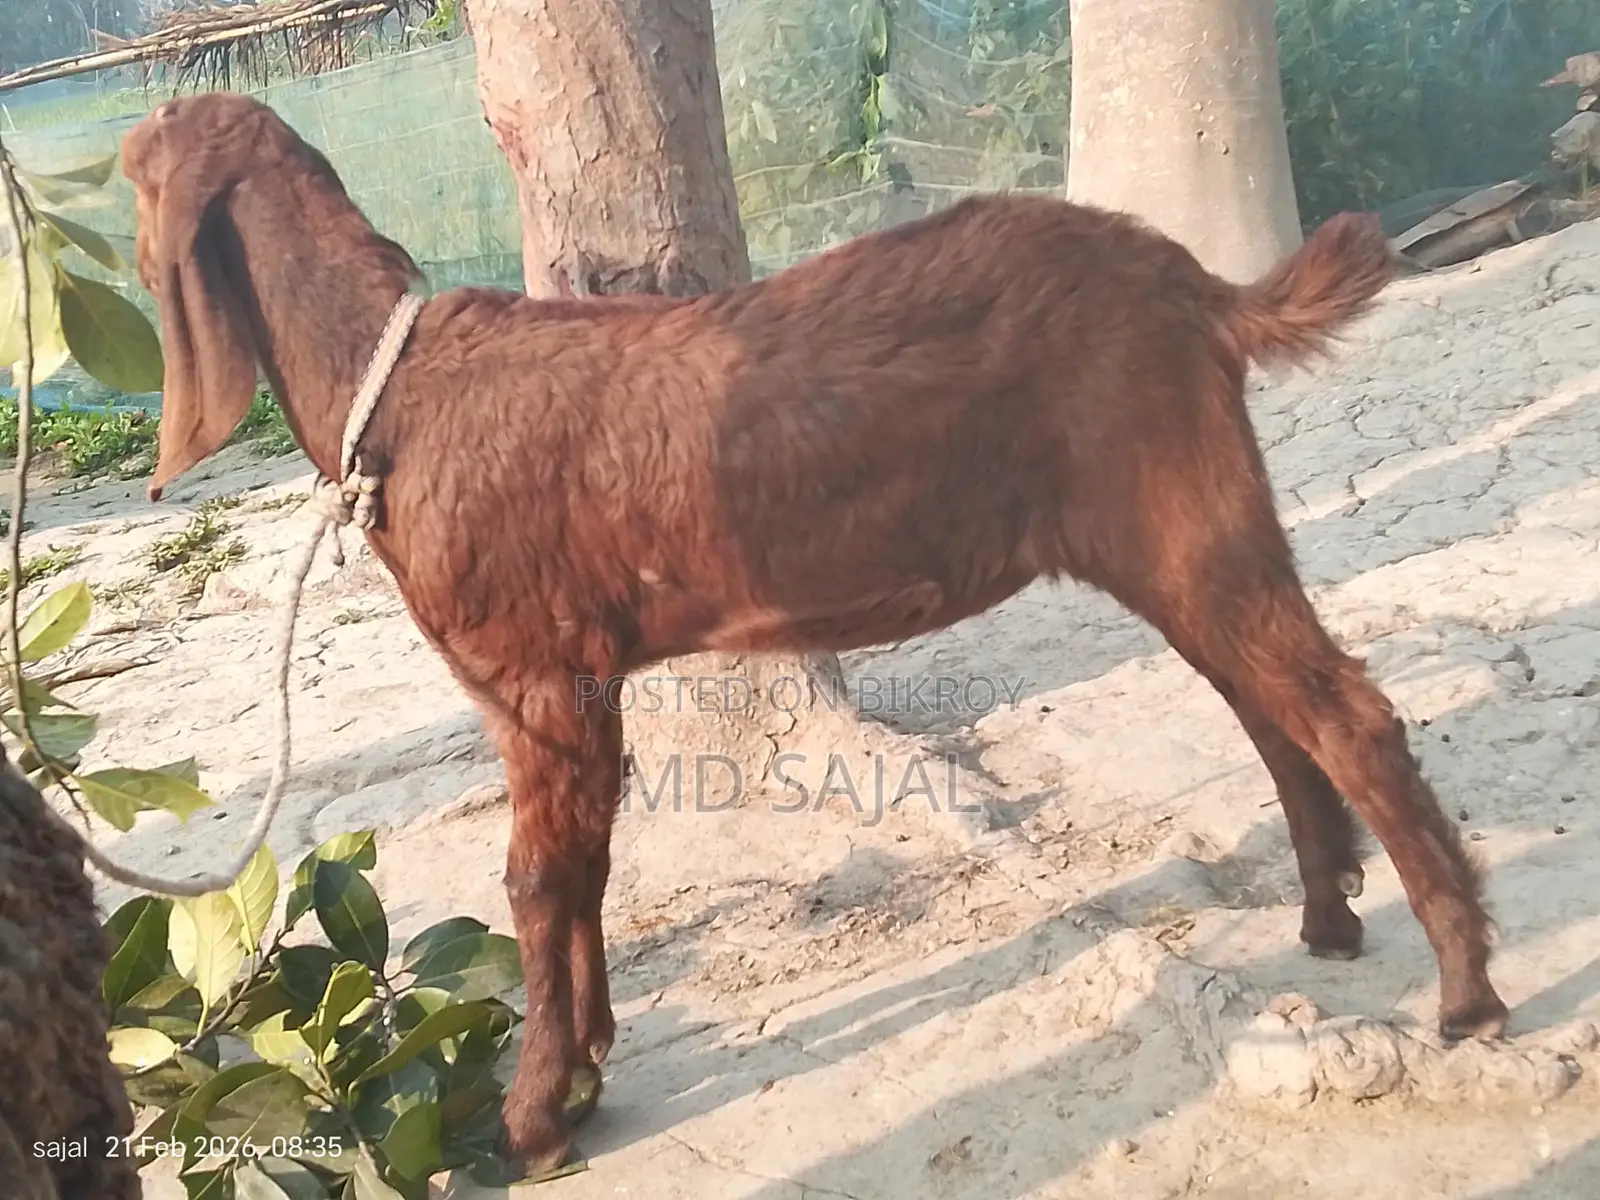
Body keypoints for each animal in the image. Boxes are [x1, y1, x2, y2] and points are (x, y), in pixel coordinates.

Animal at [121, 92, 1508, 1175]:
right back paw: (1327, 920)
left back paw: (1468, 997)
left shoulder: (536, 675)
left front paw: (532, 1119)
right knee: (1272, 714)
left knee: (1344, 713)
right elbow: (589, 865)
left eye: (128, 175)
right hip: (1176, 542)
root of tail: (1199, 289)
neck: (396, 384)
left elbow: (535, 880)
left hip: (1185, 520)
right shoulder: (576, 681)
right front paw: (588, 1072)